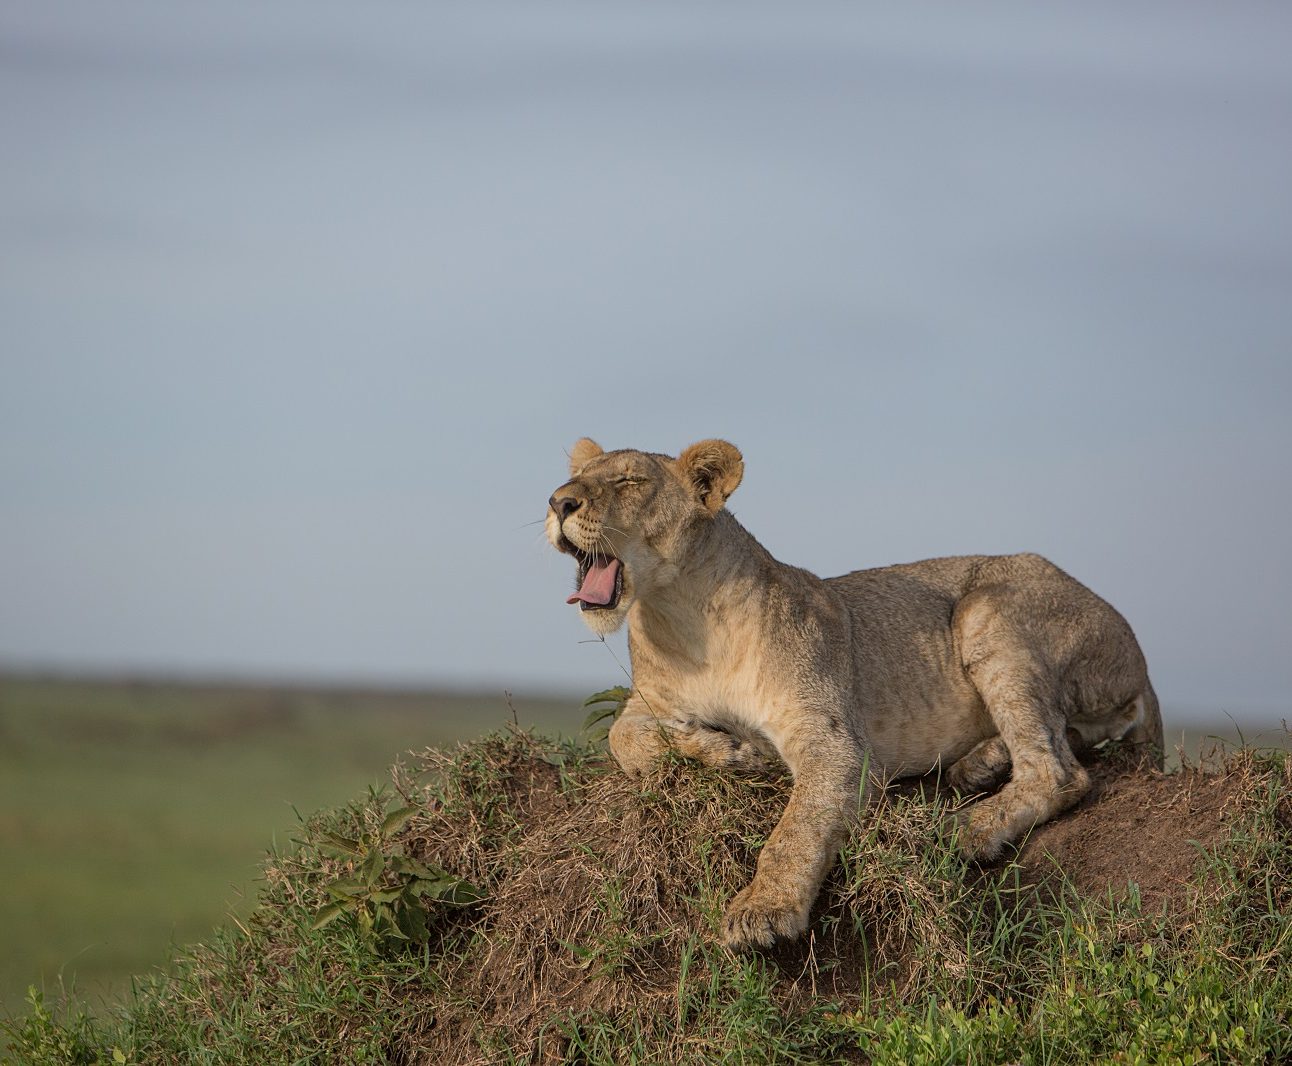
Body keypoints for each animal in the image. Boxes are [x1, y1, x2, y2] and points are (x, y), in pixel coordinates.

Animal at [546, 438, 1163, 952]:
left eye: (630, 480)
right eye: (574, 477)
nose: (557, 502)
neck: (681, 617)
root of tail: (1137, 650)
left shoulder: (834, 739)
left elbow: (796, 829)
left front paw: (762, 910)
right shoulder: (649, 704)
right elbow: (624, 739)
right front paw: (729, 752)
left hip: (988, 609)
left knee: (1059, 771)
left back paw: (968, 829)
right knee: (1068, 739)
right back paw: (979, 765)